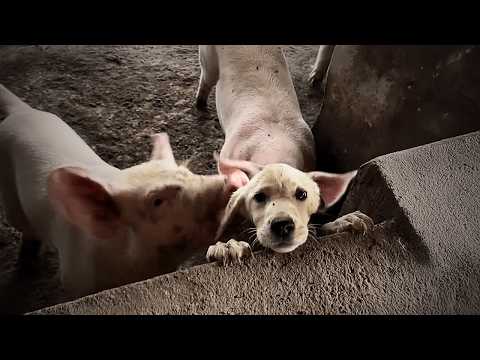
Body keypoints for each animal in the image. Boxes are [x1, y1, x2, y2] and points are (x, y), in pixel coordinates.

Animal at [0, 83, 236, 298]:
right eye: (157, 201)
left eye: (187, 172)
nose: (229, 180)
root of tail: (23, 112)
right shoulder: (74, 280)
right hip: (11, 198)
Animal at [194, 46, 372, 262]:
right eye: (259, 196)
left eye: (302, 194)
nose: (283, 223)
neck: (273, 146)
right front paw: (228, 249)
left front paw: (357, 223)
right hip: (208, 58)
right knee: (206, 78)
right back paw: (200, 105)